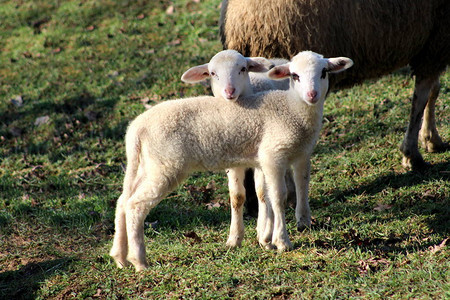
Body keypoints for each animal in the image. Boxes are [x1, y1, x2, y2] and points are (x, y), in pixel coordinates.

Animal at [109, 50, 352, 270]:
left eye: (323, 73)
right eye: (295, 76)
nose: (312, 94)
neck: (292, 110)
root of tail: (137, 128)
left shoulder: (295, 154)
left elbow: (290, 187)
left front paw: (276, 234)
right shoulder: (272, 155)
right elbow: (278, 197)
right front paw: (282, 242)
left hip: (148, 164)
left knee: (123, 201)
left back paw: (120, 257)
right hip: (166, 165)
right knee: (135, 205)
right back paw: (139, 261)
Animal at [220, 0, 448, 171]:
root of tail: (238, 21)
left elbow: (433, 91)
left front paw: (430, 139)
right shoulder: (437, 40)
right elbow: (421, 98)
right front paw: (412, 154)